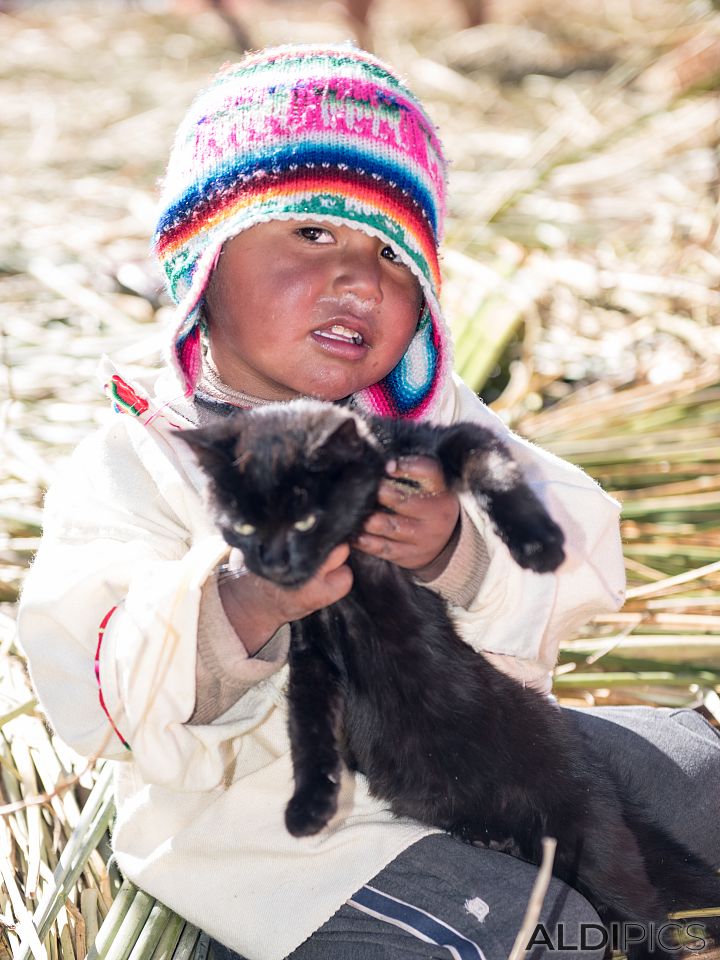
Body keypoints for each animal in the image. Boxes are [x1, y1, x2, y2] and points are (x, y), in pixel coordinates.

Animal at [181, 400, 720, 960]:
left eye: (305, 518)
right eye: (244, 526)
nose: (274, 562)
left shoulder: (433, 442)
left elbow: (489, 463)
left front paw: (537, 544)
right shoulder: (311, 653)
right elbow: (308, 728)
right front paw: (309, 807)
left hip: (587, 828)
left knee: (641, 912)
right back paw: (487, 838)